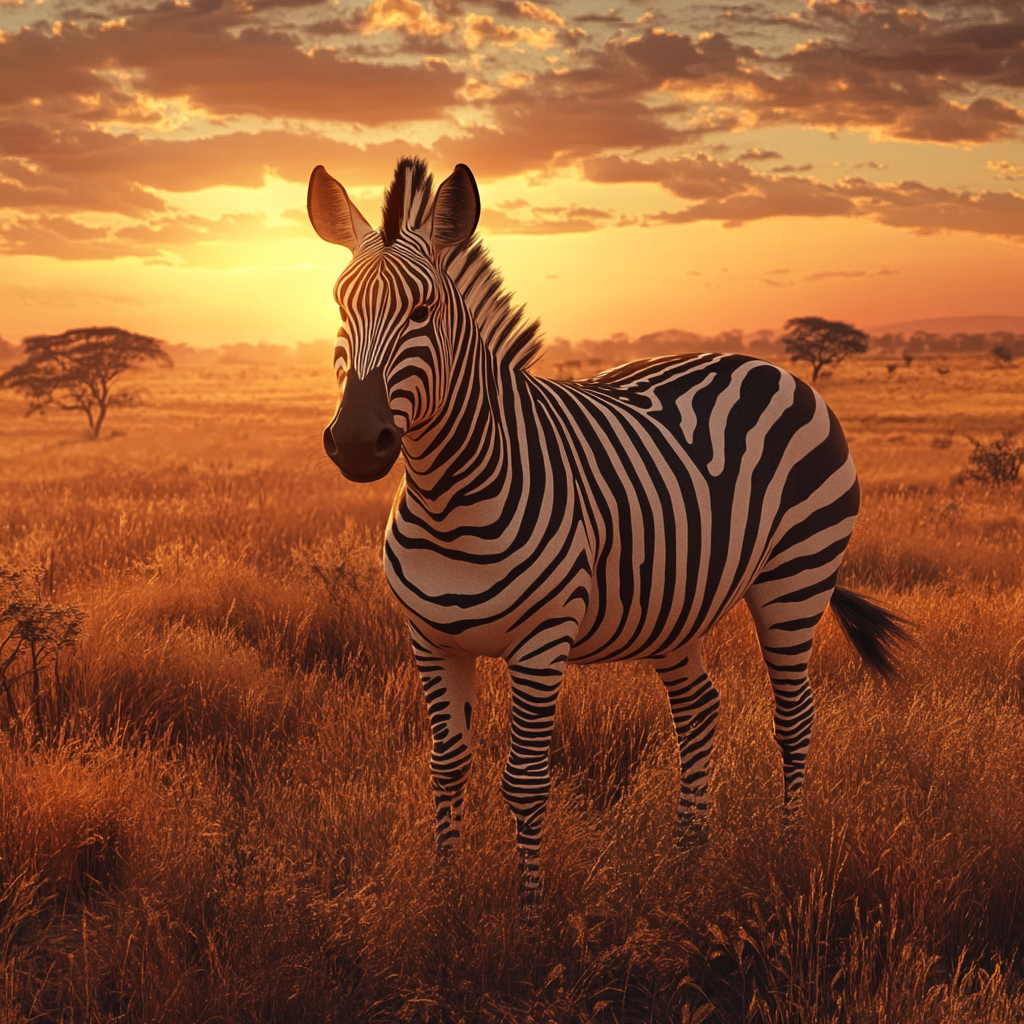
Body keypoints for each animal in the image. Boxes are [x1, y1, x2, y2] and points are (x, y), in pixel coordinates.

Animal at [307, 157, 907, 912]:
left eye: (423, 312)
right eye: (339, 308)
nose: (359, 442)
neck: (449, 497)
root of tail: (769, 366)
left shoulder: (542, 642)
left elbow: (525, 783)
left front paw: (528, 913)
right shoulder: (430, 637)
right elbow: (445, 767)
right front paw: (444, 897)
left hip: (797, 576)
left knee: (794, 715)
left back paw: (788, 845)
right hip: (680, 603)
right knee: (699, 709)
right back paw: (687, 854)